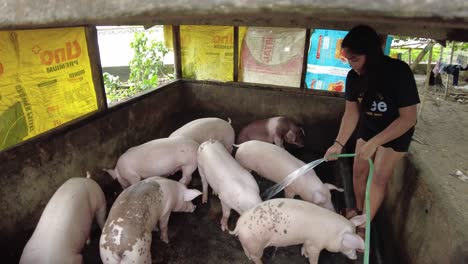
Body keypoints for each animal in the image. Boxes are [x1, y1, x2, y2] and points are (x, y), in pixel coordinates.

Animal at [230, 199, 366, 262]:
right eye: (350, 246)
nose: (355, 258)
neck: (332, 234)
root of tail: (239, 225)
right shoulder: (315, 244)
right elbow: (313, 256)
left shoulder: (308, 240)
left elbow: (304, 247)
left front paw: (303, 254)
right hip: (255, 244)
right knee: (256, 257)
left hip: (247, 242)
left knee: (246, 251)